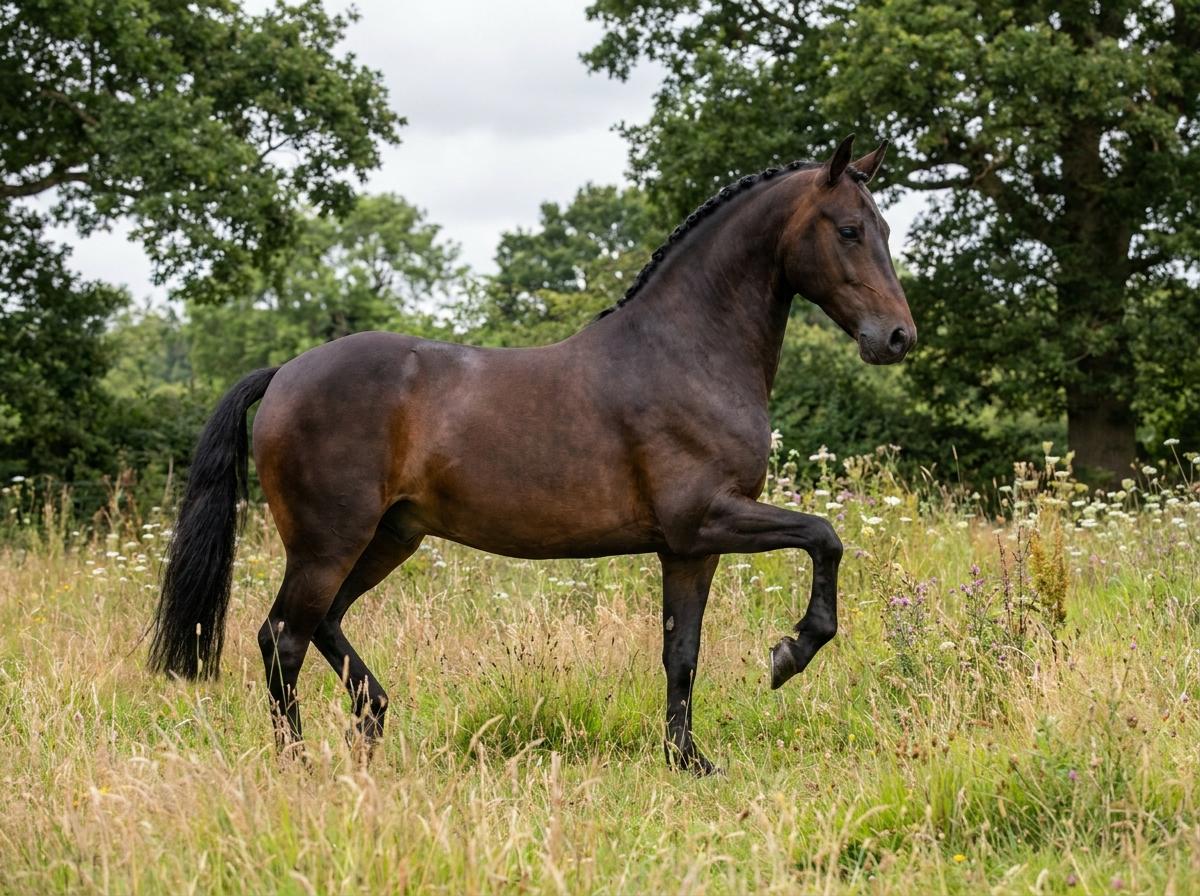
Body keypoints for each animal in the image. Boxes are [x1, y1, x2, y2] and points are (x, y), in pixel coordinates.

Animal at [150, 134, 916, 774]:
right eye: (849, 230)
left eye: (884, 229)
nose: (897, 338)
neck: (687, 352)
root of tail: (285, 372)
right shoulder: (708, 519)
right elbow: (826, 537)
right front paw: (790, 654)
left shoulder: (688, 548)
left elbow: (682, 653)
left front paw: (688, 761)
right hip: (327, 542)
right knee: (282, 639)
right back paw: (299, 763)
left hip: (389, 537)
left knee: (325, 626)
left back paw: (372, 719)